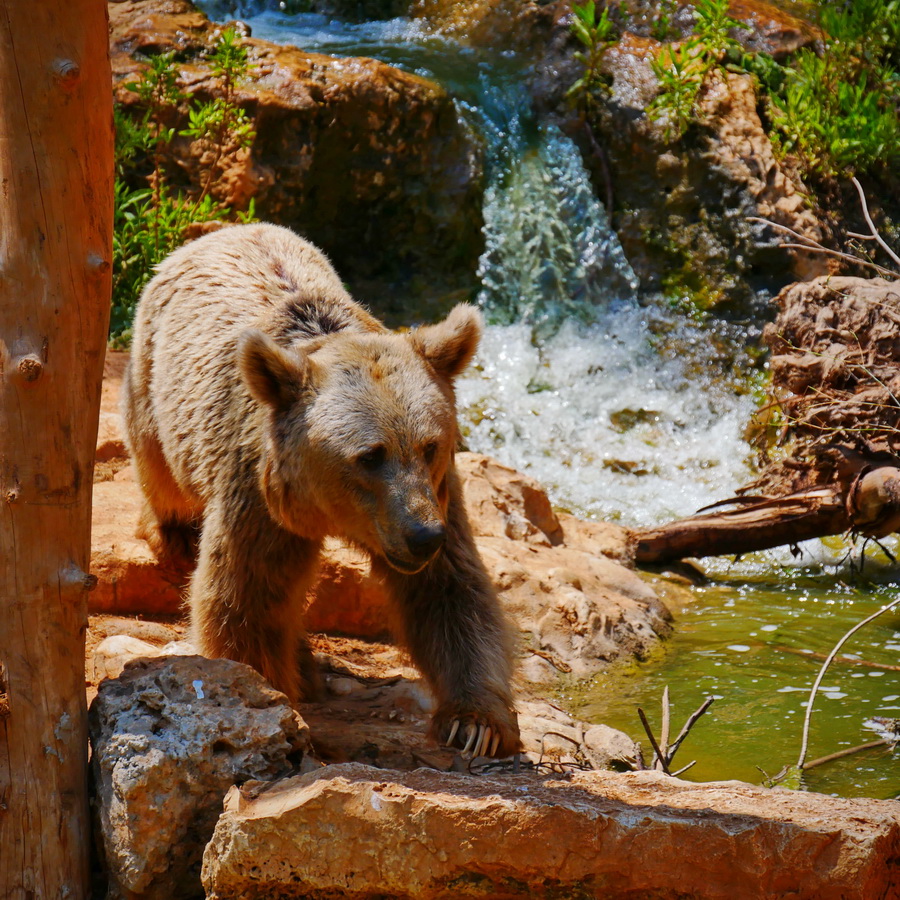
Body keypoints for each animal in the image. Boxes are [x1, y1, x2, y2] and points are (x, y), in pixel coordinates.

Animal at [124, 221, 524, 756]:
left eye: (430, 446)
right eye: (370, 455)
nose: (423, 537)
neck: (328, 509)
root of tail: (225, 230)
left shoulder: (440, 495)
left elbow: (452, 591)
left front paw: (476, 724)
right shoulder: (258, 494)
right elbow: (245, 599)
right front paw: (271, 704)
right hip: (153, 381)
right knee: (160, 473)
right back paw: (173, 534)